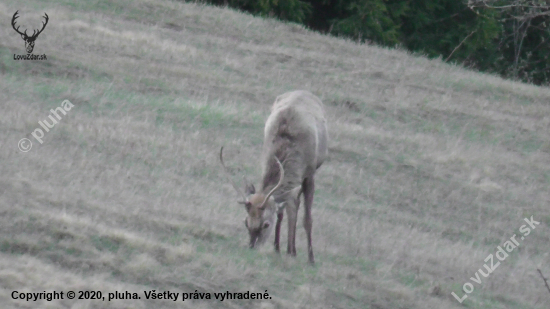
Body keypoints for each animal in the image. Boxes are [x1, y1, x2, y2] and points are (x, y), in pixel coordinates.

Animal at [222, 90, 330, 264]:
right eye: (246, 222)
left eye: (266, 224)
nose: (252, 246)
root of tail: (303, 91)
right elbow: (282, 211)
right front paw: (281, 249)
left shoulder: (309, 173)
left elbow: (306, 218)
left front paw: (309, 257)